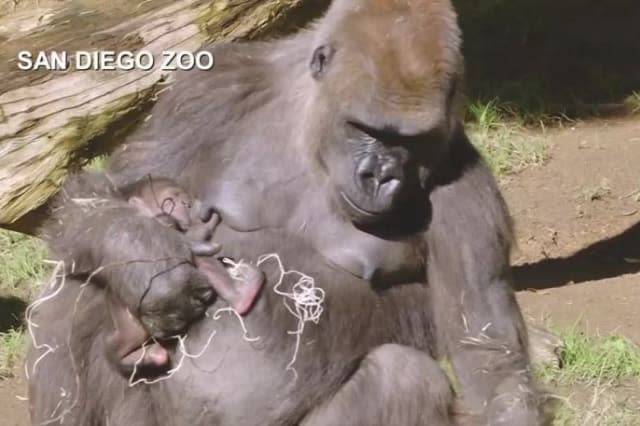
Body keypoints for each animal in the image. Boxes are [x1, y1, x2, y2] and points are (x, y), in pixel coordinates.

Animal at [105, 176, 264, 376]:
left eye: (184, 197)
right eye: (170, 199)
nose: (187, 204)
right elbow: (186, 239)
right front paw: (205, 223)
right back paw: (242, 295)